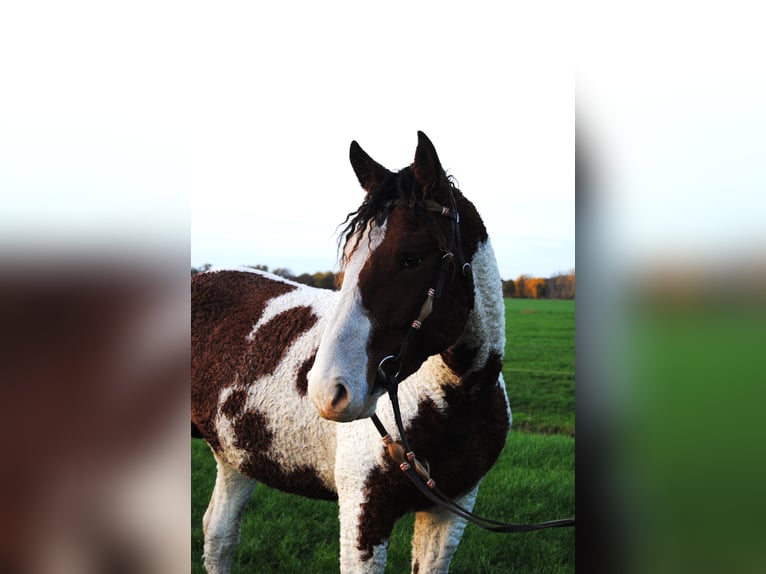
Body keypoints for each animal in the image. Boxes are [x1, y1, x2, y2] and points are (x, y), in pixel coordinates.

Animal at [192, 131, 511, 573]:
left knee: (219, 536)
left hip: (234, 457)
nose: (328, 390)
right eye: (349, 257)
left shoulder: (451, 508)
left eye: (412, 258)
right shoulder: (364, 511)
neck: (454, 398)